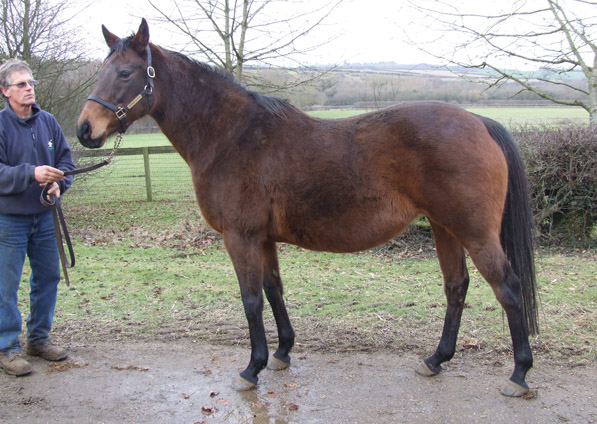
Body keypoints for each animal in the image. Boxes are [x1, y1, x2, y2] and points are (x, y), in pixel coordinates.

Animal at [75, 19, 540, 398]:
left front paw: (252, 368)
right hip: (445, 228)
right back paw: (435, 360)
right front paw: (281, 353)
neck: (231, 135)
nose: (84, 129)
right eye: (99, 71)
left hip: (475, 233)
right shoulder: (263, 239)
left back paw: (518, 375)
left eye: (125, 72)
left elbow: (250, 299)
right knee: (456, 287)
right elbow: (273, 290)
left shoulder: (240, 237)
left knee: (507, 288)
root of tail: (479, 121)